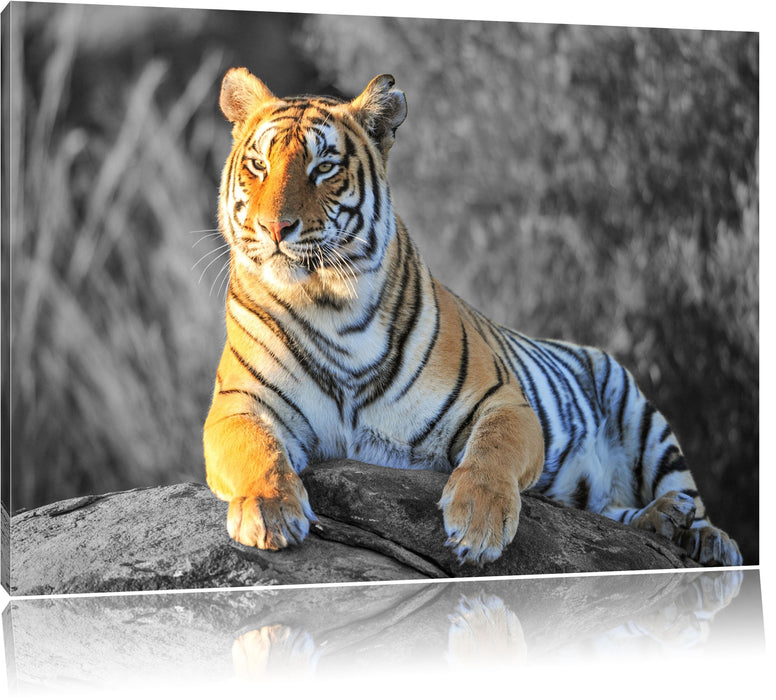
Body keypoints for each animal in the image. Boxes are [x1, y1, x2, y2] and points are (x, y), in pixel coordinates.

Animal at [203, 67, 742, 568]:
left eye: (324, 167)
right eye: (258, 165)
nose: (275, 227)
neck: (329, 304)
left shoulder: (502, 400)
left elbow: (492, 451)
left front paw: (479, 525)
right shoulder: (238, 406)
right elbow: (257, 451)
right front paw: (269, 510)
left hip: (641, 414)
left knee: (685, 495)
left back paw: (703, 535)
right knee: (611, 511)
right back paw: (663, 521)